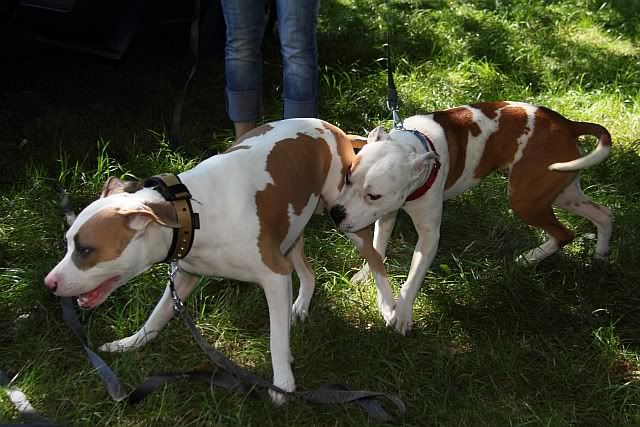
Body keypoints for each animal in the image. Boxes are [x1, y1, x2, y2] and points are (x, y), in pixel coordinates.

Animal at [43, 118, 395, 403]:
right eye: (68, 243)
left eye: (85, 249)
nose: (49, 283)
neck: (190, 213)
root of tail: (329, 127)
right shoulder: (185, 275)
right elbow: (156, 319)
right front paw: (129, 344)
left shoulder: (274, 276)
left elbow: (275, 338)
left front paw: (283, 383)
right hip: (292, 227)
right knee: (308, 273)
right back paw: (301, 305)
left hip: (345, 216)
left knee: (375, 257)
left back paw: (390, 307)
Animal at [329, 101, 613, 335]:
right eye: (348, 177)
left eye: (373, 195)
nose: (335, 213)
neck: (414, 147)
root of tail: (566, 123)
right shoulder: (387, 215)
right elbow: (377, 248)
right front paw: (366, 274)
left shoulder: (428, 235)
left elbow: (413, 278)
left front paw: (402, 313)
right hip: (562, 192)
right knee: (604, 214)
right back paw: (598, 255)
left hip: (526, 199)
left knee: (565, 232)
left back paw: (531, 257)